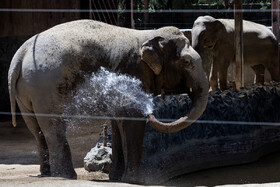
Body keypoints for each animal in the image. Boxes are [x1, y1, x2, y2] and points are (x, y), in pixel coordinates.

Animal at [7, 20, 209, 184]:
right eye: (187, 62)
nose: (151, 111)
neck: (147, 35)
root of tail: (21, 53)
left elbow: (117, 121)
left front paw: (117, 178)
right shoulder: (133, 70)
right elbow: (131, 117)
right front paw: (136, 180)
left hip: (26, 90)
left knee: (36, 130)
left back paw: (47, 173)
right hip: (45, 85)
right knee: (54, 127)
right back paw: (66, 176)